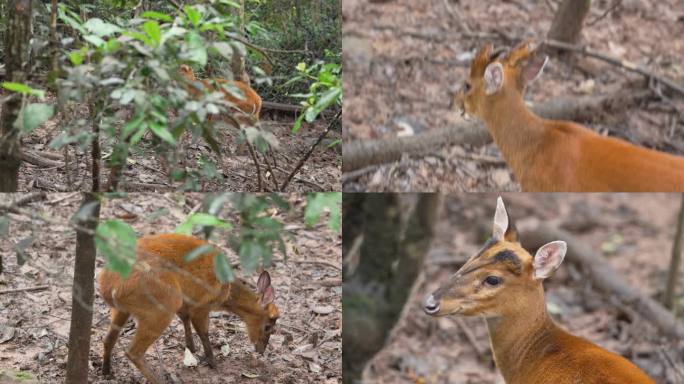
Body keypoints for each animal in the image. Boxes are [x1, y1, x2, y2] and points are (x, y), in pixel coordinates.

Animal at [97, 234, 280, 384]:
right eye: (268, 326)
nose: (261, 350)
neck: (226, 291)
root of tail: (110, 287)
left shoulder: (187, 303)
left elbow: (185, 319)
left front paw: (191, 348)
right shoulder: (201, 305)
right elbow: (204, 332)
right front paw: (213, 362)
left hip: (123, 309)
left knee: (108, 339)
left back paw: (106, 371)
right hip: (163, 305)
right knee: (133, 352)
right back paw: (159, 380)